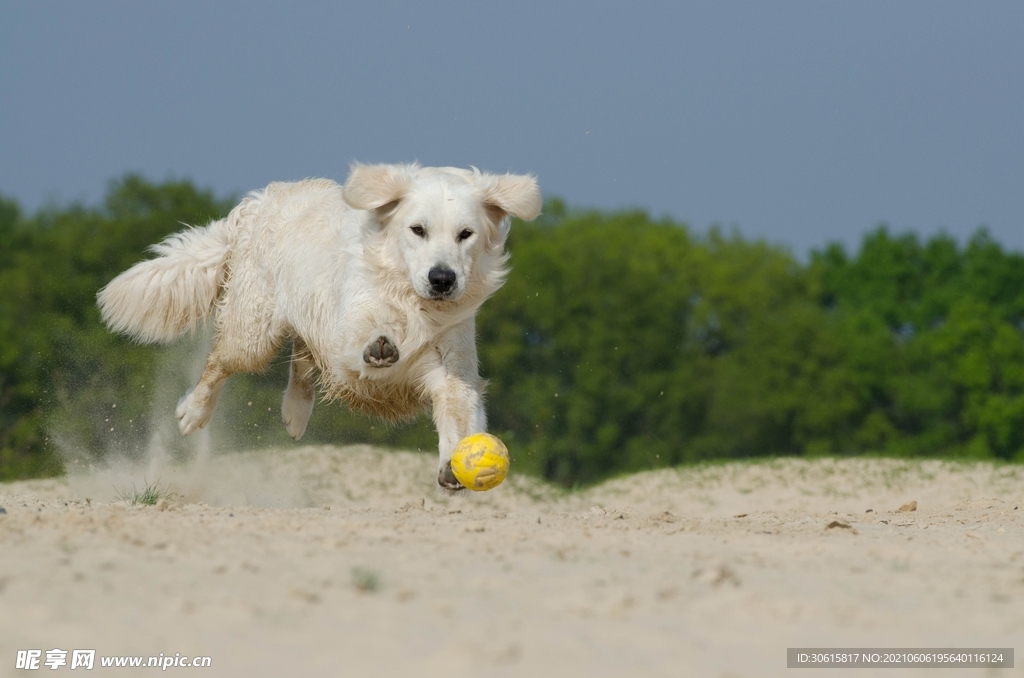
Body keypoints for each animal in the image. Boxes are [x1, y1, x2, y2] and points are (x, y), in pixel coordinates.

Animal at [98, 166, 540, 491]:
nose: (442, 279)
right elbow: (363, 338)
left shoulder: (453, 368)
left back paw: (295, 413)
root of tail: (257, 202)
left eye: (466, 234)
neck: (410, 302)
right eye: (418, 230)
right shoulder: (345, 339)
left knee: (301, 355)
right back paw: (193, 412)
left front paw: (455, 464)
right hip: (255, 331)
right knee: (221, 362)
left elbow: (460, 414)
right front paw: (380, 344)